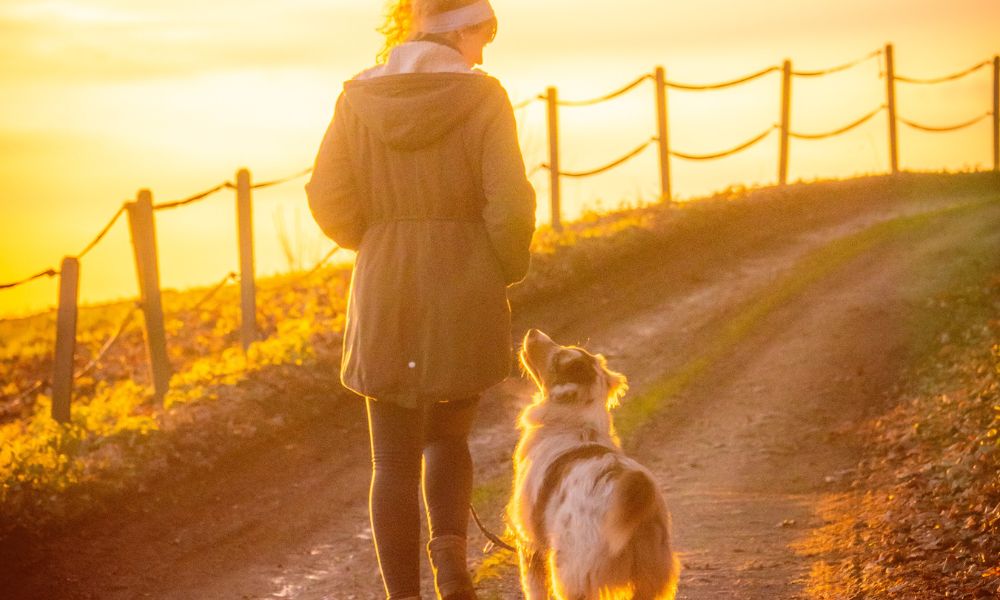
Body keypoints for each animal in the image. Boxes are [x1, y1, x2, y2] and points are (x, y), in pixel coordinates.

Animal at [508, 330, 680, 596]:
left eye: (557, 359)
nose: (532, 332)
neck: (575, 423)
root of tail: (637, 492)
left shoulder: (529, 544)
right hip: (650, 577)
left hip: (570, 574)